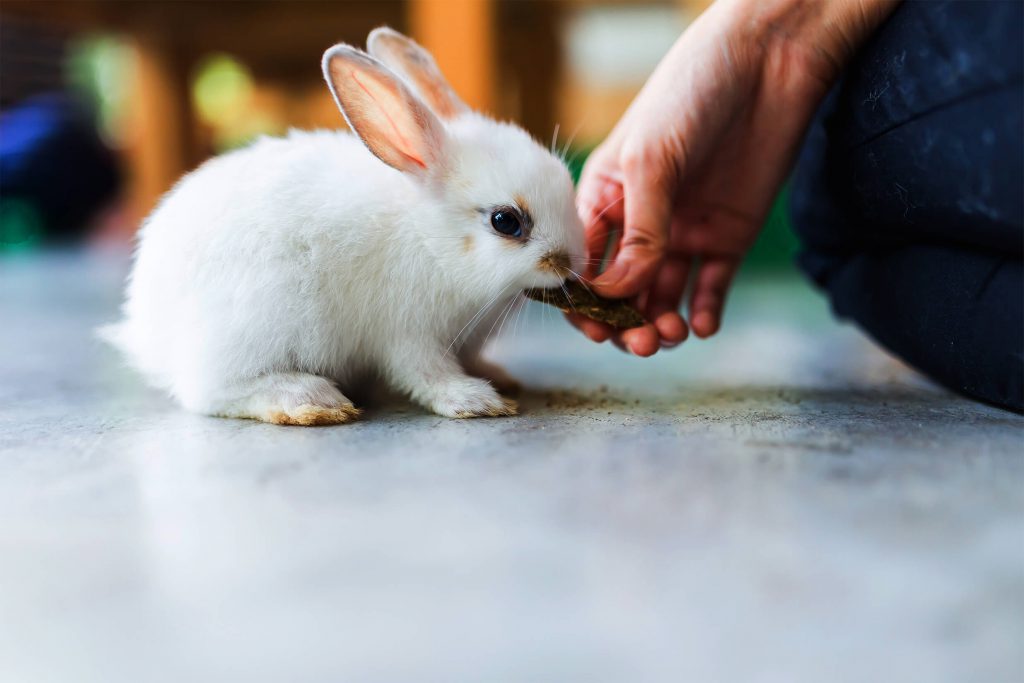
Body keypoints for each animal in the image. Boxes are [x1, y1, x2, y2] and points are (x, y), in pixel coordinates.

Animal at [100, 27, 584, 425]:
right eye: (506, 222)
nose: (569, 262)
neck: (430, 239)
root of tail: (147, 330)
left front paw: (497, 377)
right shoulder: (408, 333)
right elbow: (427, 374)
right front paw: (477, 400)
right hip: (256, 324)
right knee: (208, 391)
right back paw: (309, 400)